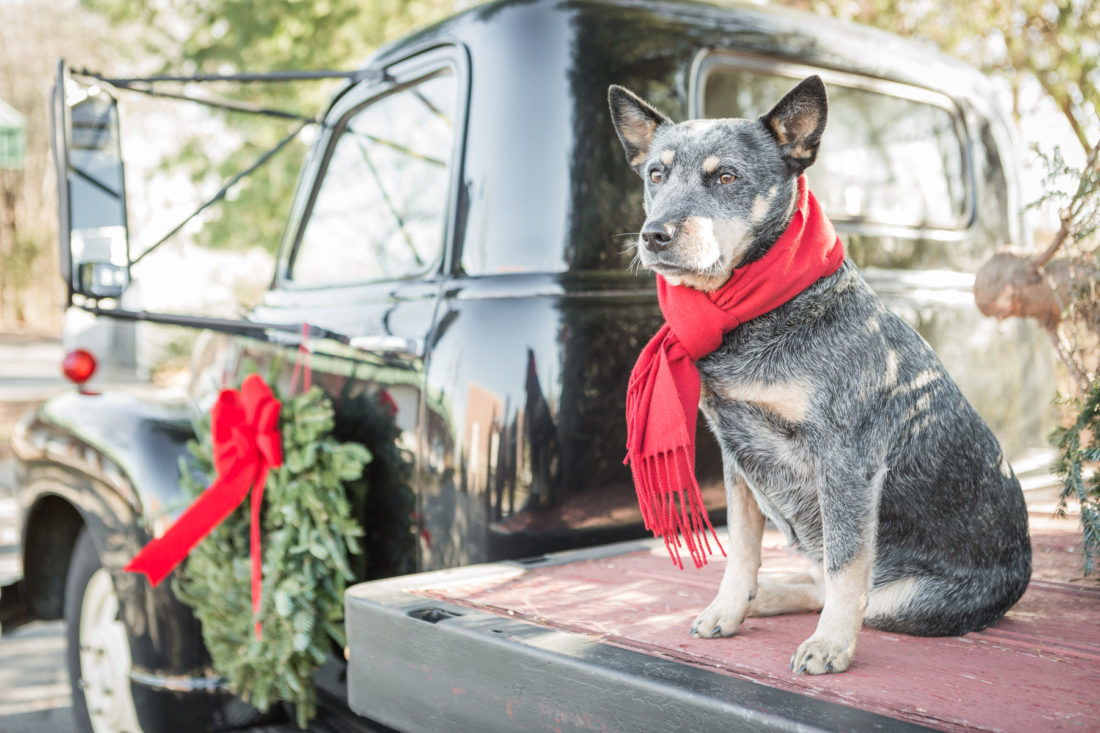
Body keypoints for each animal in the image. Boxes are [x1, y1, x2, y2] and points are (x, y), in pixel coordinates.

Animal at [611, 75, 1029, 673]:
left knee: (855, 591)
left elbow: (845, 566)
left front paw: (831, 644)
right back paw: (761, 597)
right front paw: (728, 609)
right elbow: (742, 552)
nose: (653, 235)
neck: (755, 314)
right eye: (656, 175)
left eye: (726, 177)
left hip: (908, 599)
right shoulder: (737, 457)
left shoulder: (847, 459)